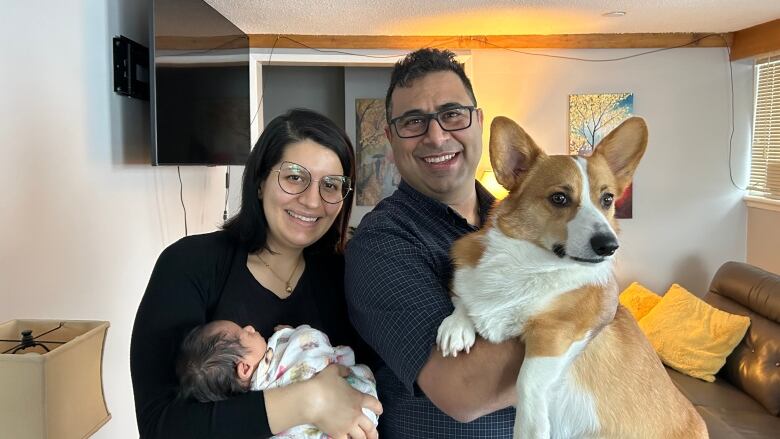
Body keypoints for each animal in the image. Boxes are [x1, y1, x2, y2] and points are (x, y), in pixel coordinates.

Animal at [436, 117, 708, 439]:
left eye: (607, 199)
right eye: (559, 198)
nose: (609, 245)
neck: (529, 264)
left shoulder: (559, 330)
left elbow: (527, 379)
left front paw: (530, 429)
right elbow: (465, 298)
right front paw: (456, 327)